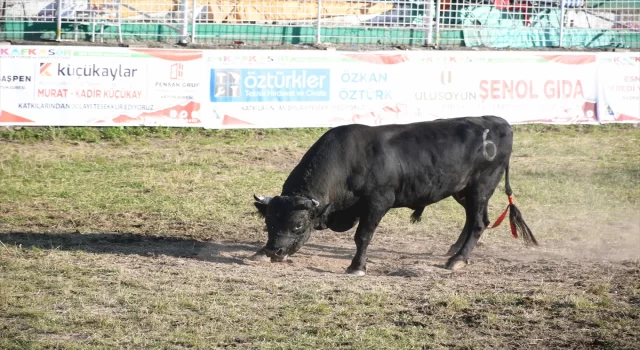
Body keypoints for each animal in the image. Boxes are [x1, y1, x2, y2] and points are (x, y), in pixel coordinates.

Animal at [249, 116, 536, 274]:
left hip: (481, 186)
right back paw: (454, 249)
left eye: (298, 225)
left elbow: (363, 236)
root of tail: (498, 123)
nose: (274, 250)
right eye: (268, 222)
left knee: (478, 222)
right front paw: (259, 253)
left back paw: (457, 260)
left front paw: (357, 267)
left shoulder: (378, 202)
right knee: (472, 219)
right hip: (463, 191)